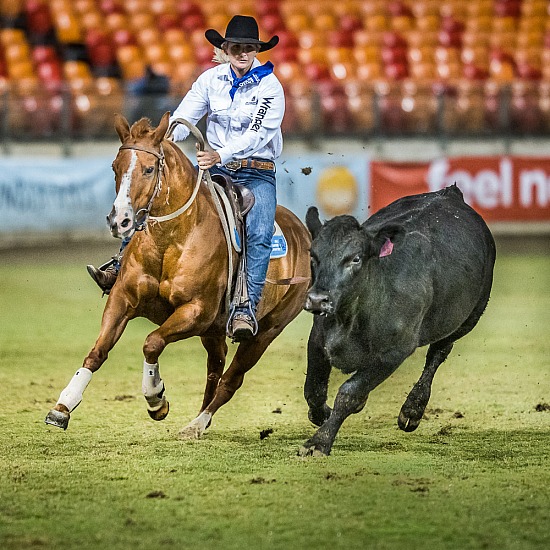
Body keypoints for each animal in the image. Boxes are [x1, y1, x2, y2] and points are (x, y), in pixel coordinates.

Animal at [44, 112, 310, 440]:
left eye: (148, 169)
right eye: (115, 167)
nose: (119, 221)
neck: (171, 239)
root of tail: (303, 232)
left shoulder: (195, 312)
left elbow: (152, 342)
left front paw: (156, 399)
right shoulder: (122, 299)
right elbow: (98, 351)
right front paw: (63, 406)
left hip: (266, 332)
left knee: (230, 379)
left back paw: (196, 424)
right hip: (214, 332)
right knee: (215, 369)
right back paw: (200, 422)